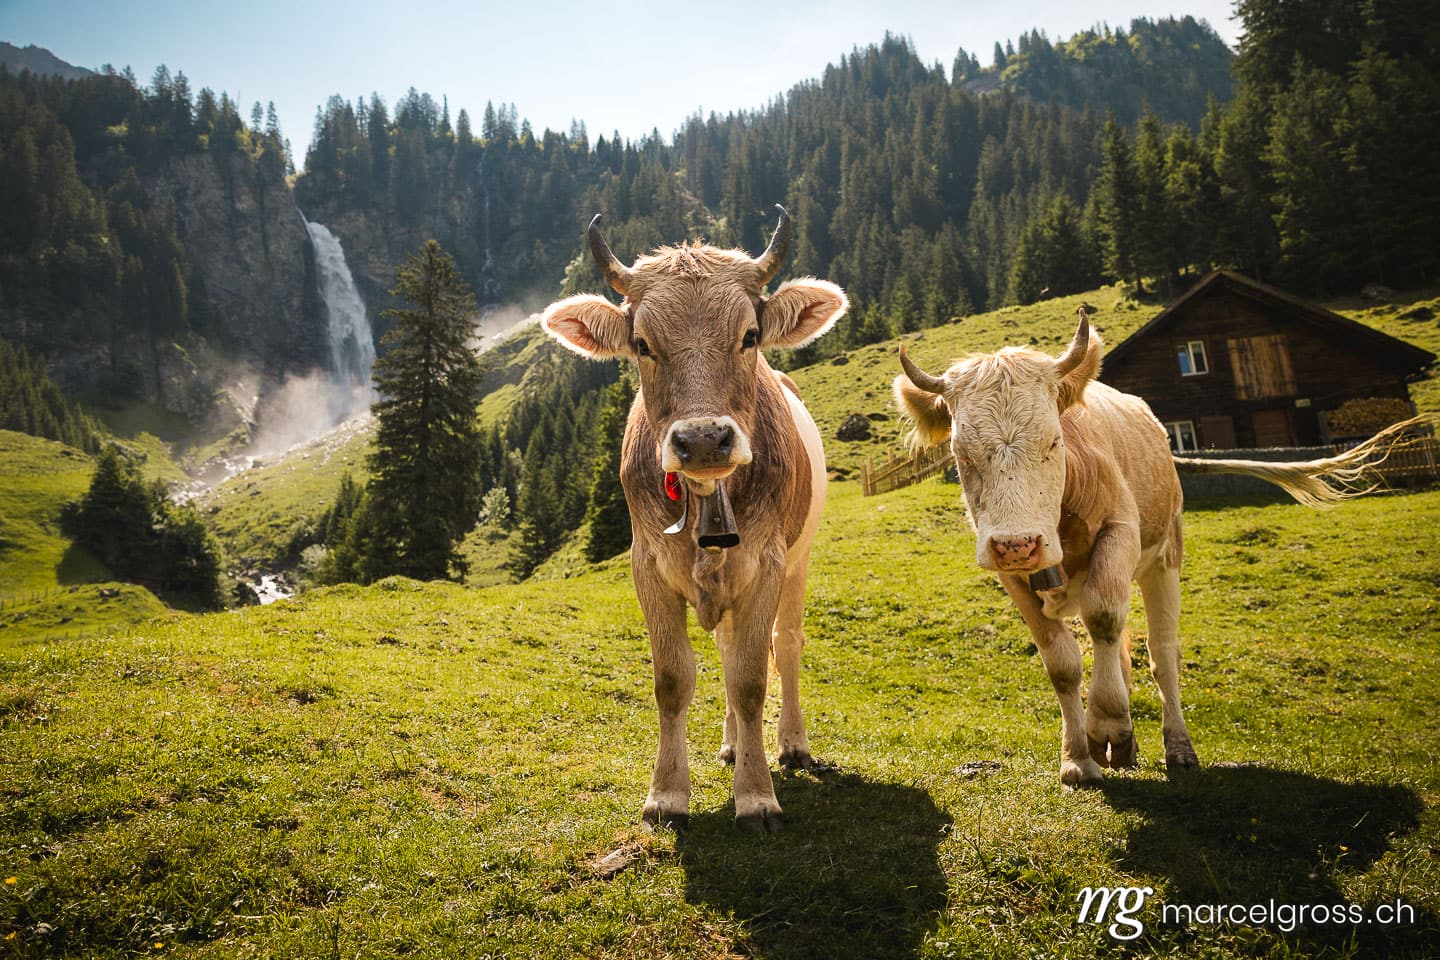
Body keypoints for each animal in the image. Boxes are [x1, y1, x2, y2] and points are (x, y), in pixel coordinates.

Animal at [540, 207, 847, 831]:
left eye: (749, 336)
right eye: (641, 343)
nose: (704, 438)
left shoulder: (766, 563)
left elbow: (752, 679)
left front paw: (755, 797)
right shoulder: (647, 566)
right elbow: (673, 679)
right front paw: (666, 794)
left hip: (799, 558)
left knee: (786, 643)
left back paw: (791, 743)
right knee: (728, 648)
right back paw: (732, 744)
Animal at [894, 309, 1429, 788]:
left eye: (1053, 442)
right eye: (961, 454)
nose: (1018, 543)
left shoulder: (1121, 532)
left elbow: (1106, 620)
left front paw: (1109, 724)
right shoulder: (1011, 576)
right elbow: (1062, 663)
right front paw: (1078, 758)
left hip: (1164, 559)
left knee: (1160, 653)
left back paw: (1177, 747)